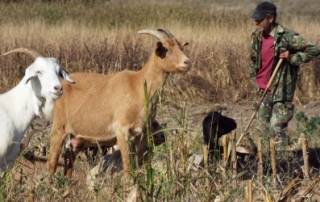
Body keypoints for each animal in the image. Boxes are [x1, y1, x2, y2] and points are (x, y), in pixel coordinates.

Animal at [47, 28, 190, 177]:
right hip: (59, 127)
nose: (187, 62)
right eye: (166, 49)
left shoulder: (140, 134)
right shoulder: (122, 131)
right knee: (51, 162)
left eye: (180, 47)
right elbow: (127, 167)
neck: (138, 85)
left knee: (69, 162)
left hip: (75, 138)